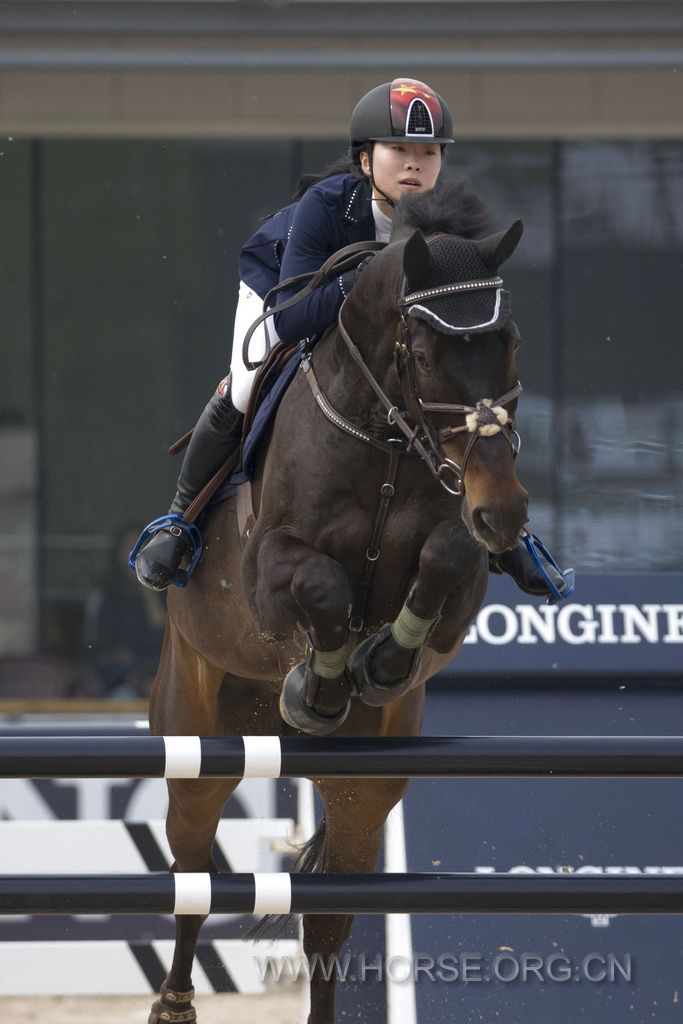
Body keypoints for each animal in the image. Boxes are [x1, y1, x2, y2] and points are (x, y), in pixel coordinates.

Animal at [147, 176, 529, 1024]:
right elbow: (321, 586)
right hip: (196, 738)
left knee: (326, 916)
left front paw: (380, 660)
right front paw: (320, 682)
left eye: (508, 340)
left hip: (363, 785)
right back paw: (174, 1003)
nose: (505, 512)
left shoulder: (458, 571)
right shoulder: (267, 572)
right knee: (191, 873)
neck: (387, 437)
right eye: (425, 354)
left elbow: (448, 556)